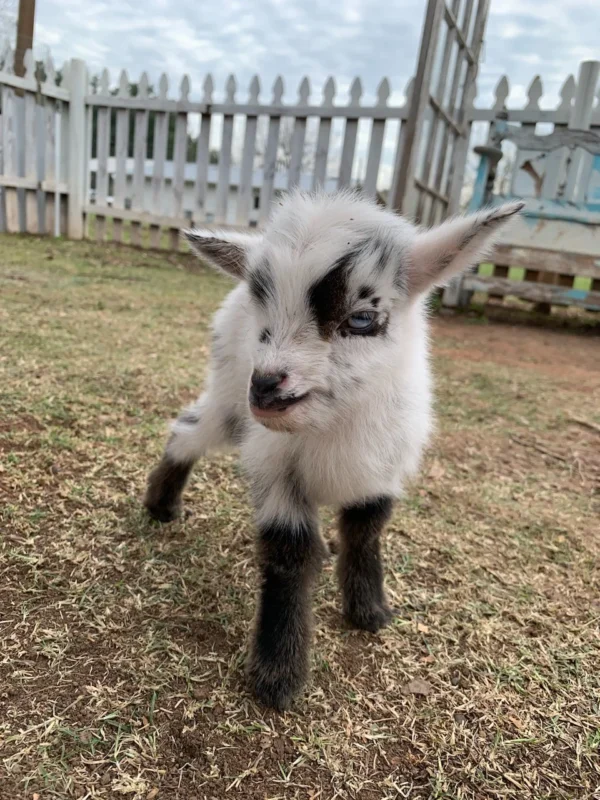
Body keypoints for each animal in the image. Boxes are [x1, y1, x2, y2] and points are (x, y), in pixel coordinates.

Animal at [144, 191, 520, 708]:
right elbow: (291, 554)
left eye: (361, 319)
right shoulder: (277, 470)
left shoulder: (382, 470)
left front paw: (370, 611)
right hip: (227, 398)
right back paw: (161, 504)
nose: (265, 387)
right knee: (188, 429)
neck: (333, 427)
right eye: (265, 317)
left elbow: (366, 531)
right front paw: (278, 675)